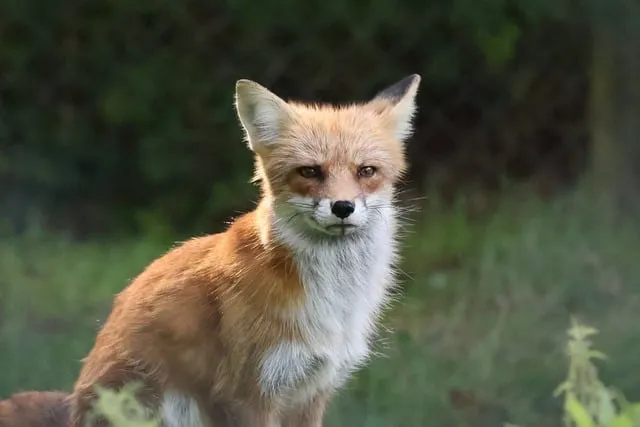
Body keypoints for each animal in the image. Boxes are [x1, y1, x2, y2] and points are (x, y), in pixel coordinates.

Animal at [0, 73, 421, 427]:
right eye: (310, 172)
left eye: (366, 171)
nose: (342, 207)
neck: (333, 300)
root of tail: (73, 410)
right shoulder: (247, 393)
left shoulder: (311, 392)